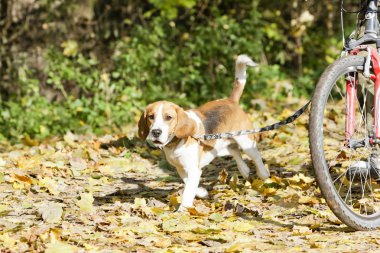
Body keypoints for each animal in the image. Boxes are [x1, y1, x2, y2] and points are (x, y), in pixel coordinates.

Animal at [139, 55, 270, 211]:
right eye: (151, 117)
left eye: (168, 117)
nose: (156, 132)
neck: (176, 143)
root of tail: (230, 101)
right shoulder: (181, 168)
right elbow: (188, 182)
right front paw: (201, 192)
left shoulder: (193, 169)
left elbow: (188, 190)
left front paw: (183, 209)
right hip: (220, 145)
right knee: (234, 151)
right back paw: (244, 169)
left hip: (245, 140)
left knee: (255, 156)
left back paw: (263, 174)